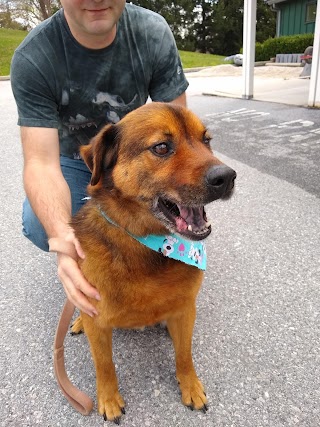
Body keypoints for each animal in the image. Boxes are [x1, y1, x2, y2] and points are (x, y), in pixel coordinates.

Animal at [69, 103, 235, 424]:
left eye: (206, 140)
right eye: (161, 147)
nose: (228, 176)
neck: (147, 246)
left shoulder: (185, 310)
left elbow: (184, 355)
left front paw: (190, 385)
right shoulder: (99, 324)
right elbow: (104, 365)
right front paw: (109, 399)